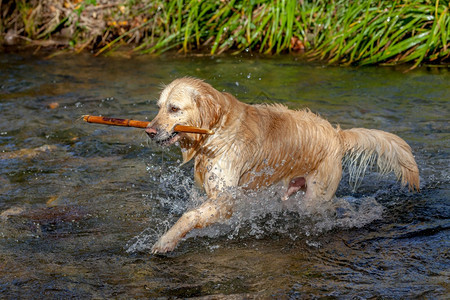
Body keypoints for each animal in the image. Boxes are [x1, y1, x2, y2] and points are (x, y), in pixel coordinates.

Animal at [147, 77, 418, 253]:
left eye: (174, 108)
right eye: (158, 107)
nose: (149, 131)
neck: (216, 129)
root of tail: (336, 134)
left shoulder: (225, 199)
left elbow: (190, 215)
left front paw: (165, 241)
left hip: (315, 199)